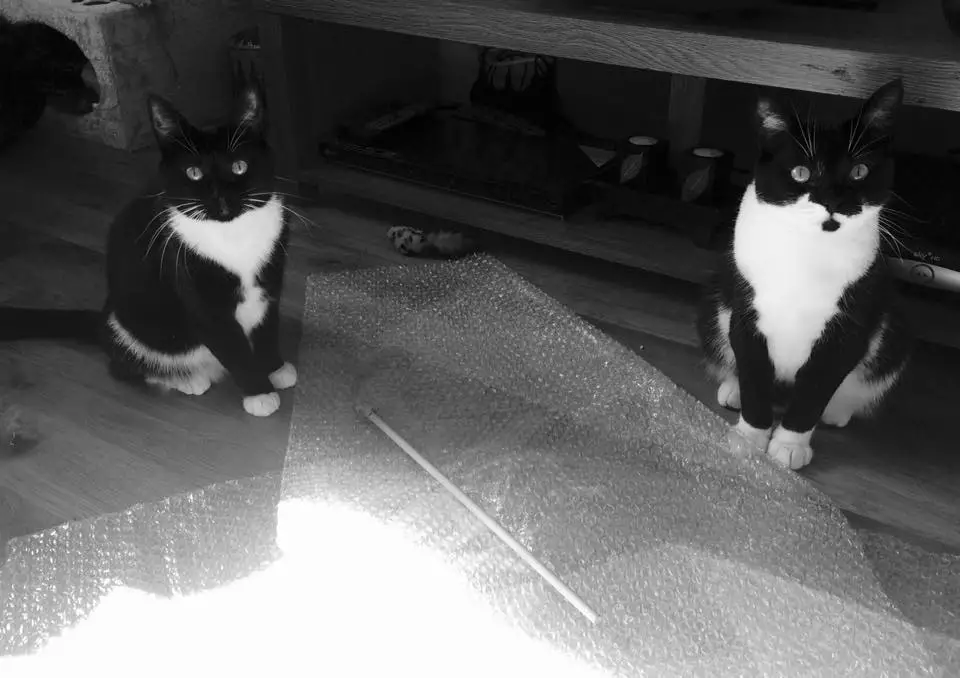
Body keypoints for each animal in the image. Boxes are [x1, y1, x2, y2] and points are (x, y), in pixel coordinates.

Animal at [0, 87, 296, 418]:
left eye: (239, 166)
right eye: (193, 172)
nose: (222, 202)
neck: (234, 236)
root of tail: (102, 319)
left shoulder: (270, 281)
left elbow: (267, 329)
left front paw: (275, 369)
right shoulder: (198, 298)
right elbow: (233, 347)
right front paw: (259, 393)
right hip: (133, 327)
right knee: (123, 368)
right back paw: (188, 379)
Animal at [696, 79, 908, 470]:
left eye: (859, 171)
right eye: (801, 173)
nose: (833, 202)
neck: (808, 251)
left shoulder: (847, 327)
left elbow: (815, 389)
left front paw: (790, 445)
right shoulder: (747, 310)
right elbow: (753, 371)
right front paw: (750, 439)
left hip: (894, 327)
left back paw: (836, 411)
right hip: (714, 303)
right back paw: (734, 390)